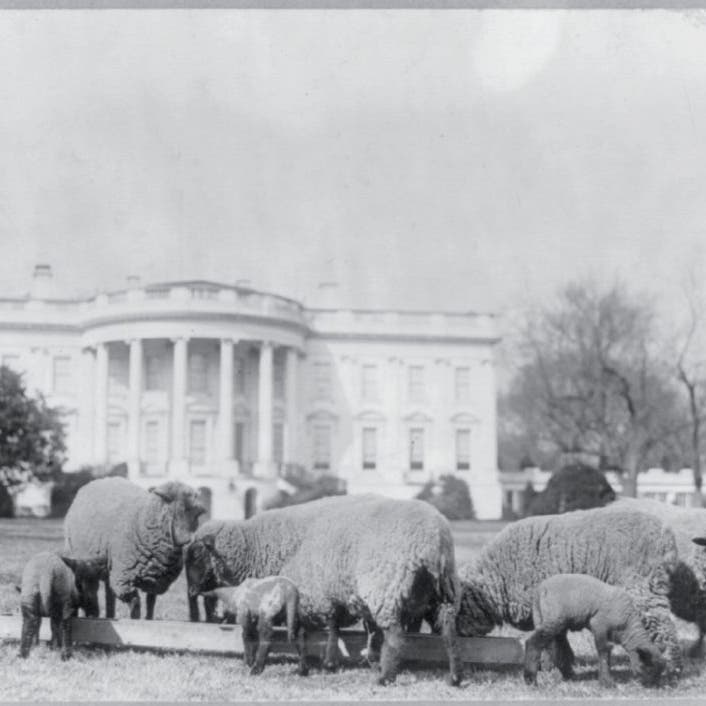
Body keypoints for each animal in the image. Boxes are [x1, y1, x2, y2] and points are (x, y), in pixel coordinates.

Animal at [62, 476, 205, 620]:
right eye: (181, 509)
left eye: (198, 513)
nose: (190, 540)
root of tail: (100, 479)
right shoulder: (124, 579)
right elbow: (135, 604)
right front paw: (135, 620)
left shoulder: (155, 580)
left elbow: (150, 603)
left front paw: (148, 619)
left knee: (109, 594)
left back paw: (110, 615)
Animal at [184, 492, 460, 684]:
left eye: (196, 555)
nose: (191, 592)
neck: (264, 546)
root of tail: (434, 540)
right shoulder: (328, 592)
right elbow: (332, 627)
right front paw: (340, 660)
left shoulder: (314, 591)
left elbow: (324, 627)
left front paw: (327, 662)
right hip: (442, 593)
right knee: (448, 633)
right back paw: (455, 677)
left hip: (384, 588)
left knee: (395, 637)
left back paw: (385, 678)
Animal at [456, 506, 680, 676]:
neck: (498, 576)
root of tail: (665, 535)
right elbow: (559, 639)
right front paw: (564, 664)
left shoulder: (547, 608)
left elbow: (550, 641)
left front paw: (548, 666)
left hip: (641, 589)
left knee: (663, 626)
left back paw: (670, 666)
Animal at [524, 572, 664, 688]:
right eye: (648, 667)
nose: (652, 686)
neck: (626, 625)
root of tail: (539, 590)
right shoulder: (599, 624)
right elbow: (603, 650)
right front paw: (606, 682)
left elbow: (607, 651)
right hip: (554, 619)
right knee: (534, 642)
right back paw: (531, 679)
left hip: (547, 619)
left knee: (554, 646)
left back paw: (566, 673)